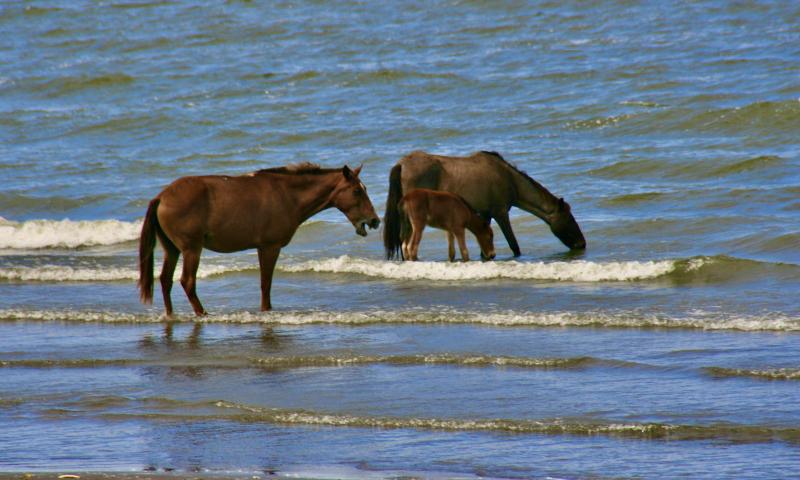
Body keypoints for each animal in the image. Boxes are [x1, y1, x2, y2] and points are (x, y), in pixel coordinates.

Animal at [138, 163, 382, 316]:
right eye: (356, 191)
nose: (375, 220)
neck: (286, 194)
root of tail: (162, 197)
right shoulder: (269, 247)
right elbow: (266, 283)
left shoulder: (261, 248)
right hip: (191, 249)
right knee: (187, 281)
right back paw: (202, 313)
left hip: (172, 249)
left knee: (165, 280)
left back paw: (171, 315)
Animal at [384, 152, 584, 260]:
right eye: (569, 218)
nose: (582, 244)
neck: (508, 178)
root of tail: (402, 163)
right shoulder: (501, 214)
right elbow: (514, 245)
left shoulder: (484, 215)